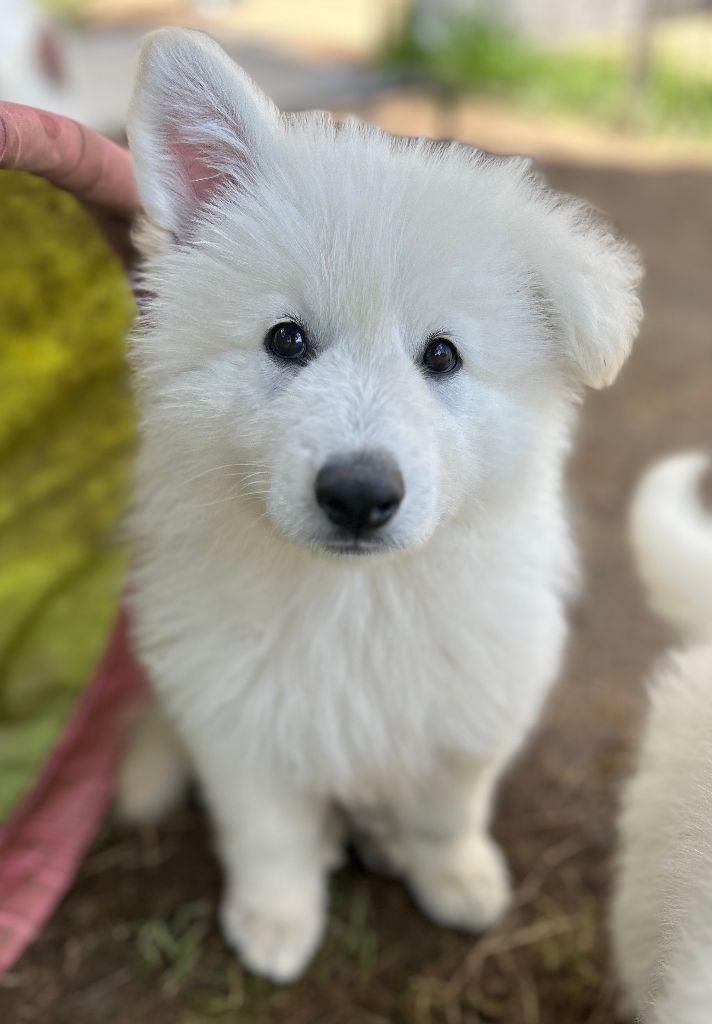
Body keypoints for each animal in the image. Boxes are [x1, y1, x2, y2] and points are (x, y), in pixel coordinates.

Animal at [119, 28, 643, 978]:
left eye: (442, 355)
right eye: (286, 340)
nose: (359, 494)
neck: (354, 599)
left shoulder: (474, 706)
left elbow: (448, 812)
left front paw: (459, 882)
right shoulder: (237, 717)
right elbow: (269, 836)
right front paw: (276, 924)